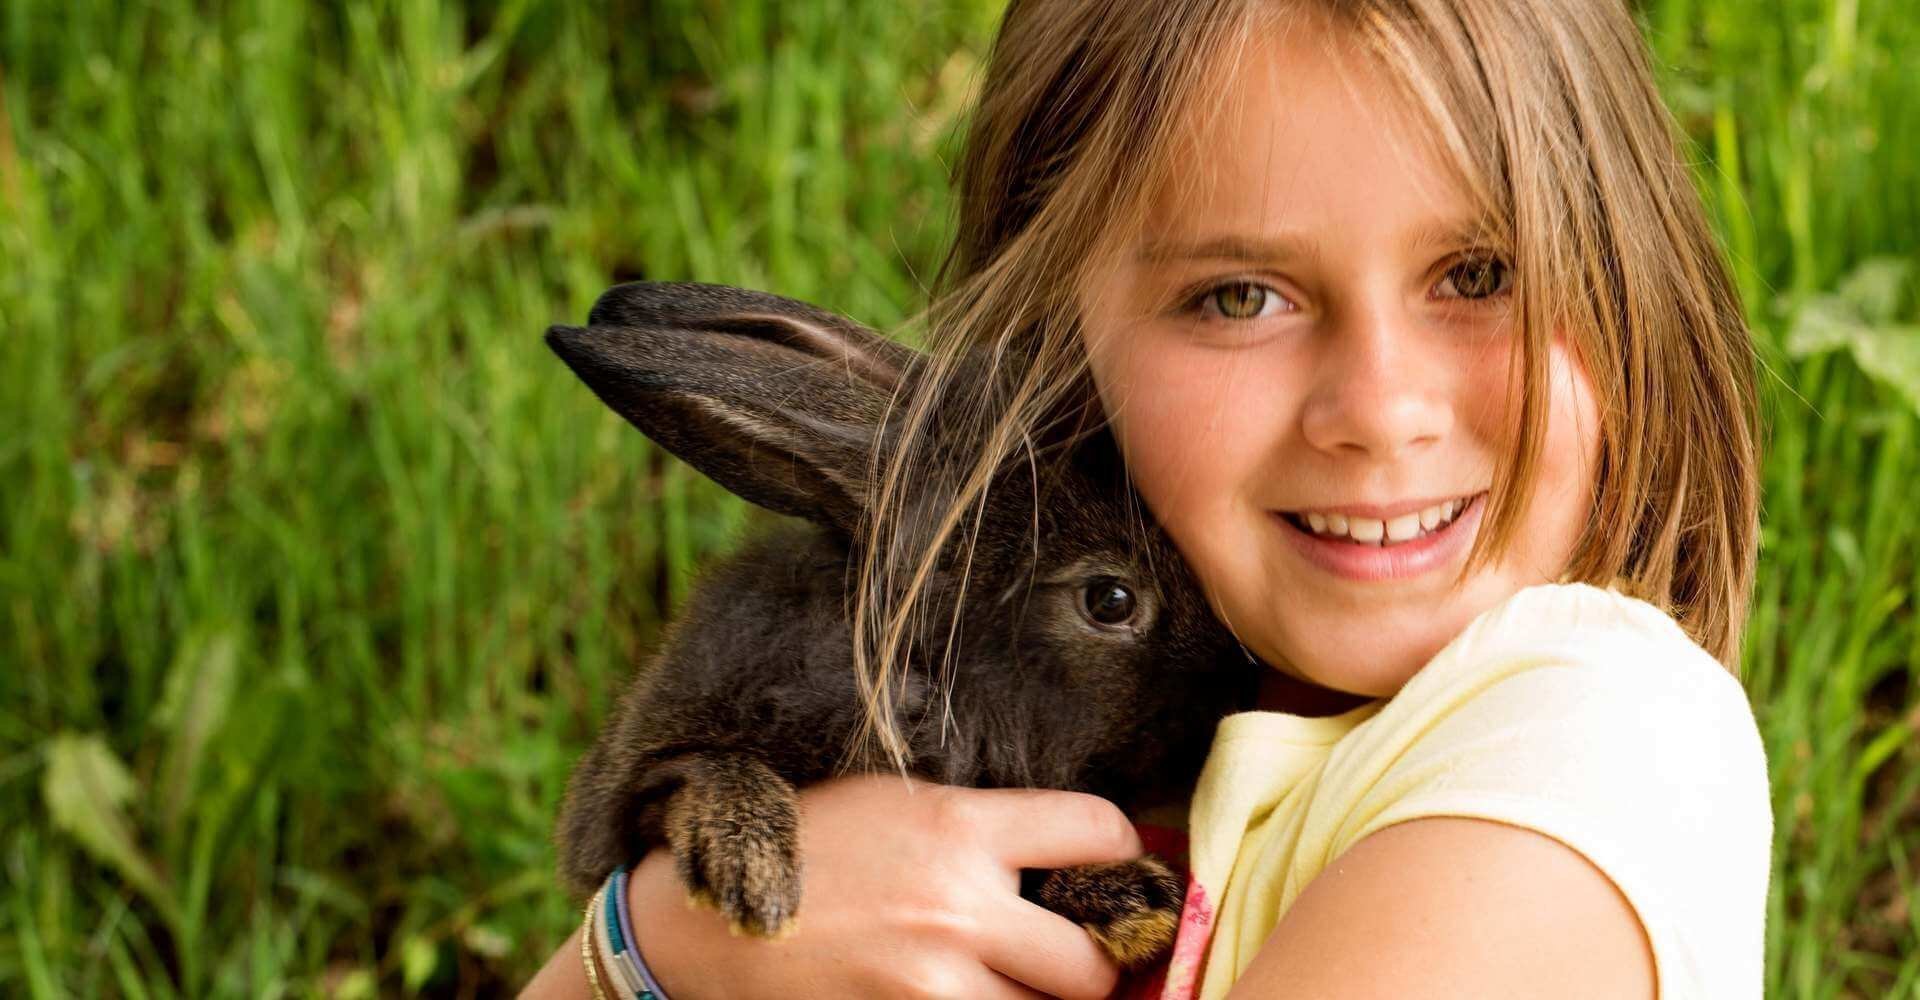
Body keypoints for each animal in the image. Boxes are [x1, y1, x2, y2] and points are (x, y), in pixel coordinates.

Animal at [545, 280, 1259, 967]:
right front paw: (753, 874)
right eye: (1111, 601)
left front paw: (1134, 904)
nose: (1236, 685)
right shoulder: (634, 786)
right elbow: (695, 773)